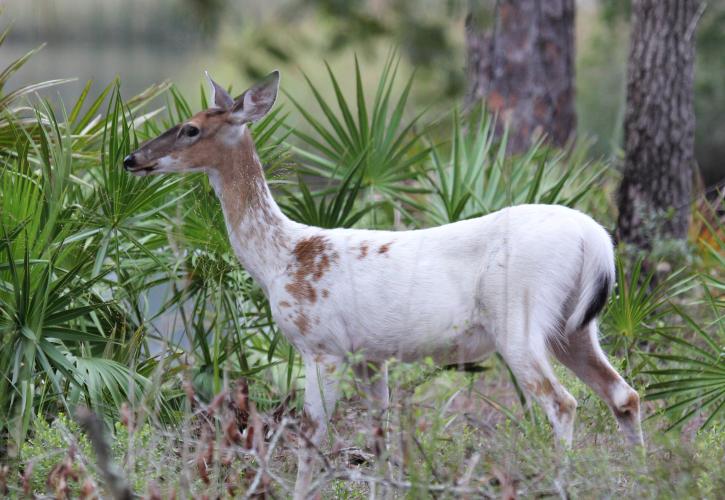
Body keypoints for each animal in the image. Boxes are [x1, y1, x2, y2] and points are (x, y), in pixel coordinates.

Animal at [124, 72, 644, 498]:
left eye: (191, 128)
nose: (131, 158)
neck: (281, 257)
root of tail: (595, 238)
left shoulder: (322, 345)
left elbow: (311, 435)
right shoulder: (370, 356)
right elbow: (381, 435)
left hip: (518, 315)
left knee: (564, 403)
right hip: (574, 327)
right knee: (624, 394)